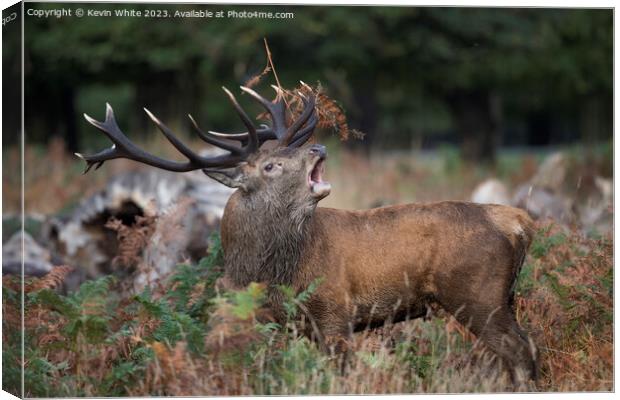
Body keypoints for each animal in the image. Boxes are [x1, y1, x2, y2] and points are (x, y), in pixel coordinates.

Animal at [80, 83, 536, 384]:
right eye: (271, 165)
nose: (317, 147)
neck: (270, 274)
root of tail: (519, 222)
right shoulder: (272, 321)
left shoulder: (335, 313)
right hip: (500, 295)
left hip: (476, 293)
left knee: (520, 350)